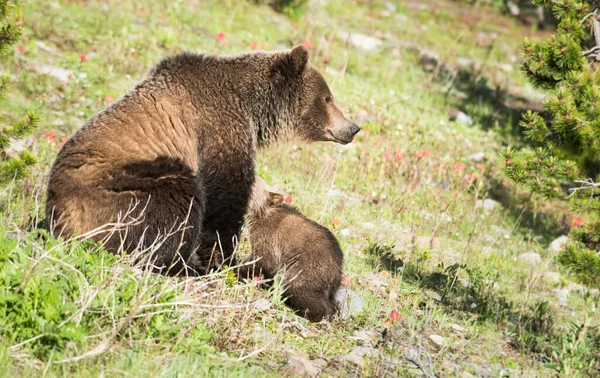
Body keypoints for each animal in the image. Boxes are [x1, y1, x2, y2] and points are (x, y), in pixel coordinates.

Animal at [47, 45, 358, 276]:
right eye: (328, 98)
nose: (353, 127)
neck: (253, 109)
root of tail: (59, 217)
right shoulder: (219, 126)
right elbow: (226, 197)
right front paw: (222, 260)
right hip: (122, 192)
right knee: (175, 200)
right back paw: (182, 266)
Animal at [238, 177, 342, 322]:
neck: (261, 213)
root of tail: (337, 271)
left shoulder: (269, 238)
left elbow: (264, 260)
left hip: (306, 268)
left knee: (300, 289)